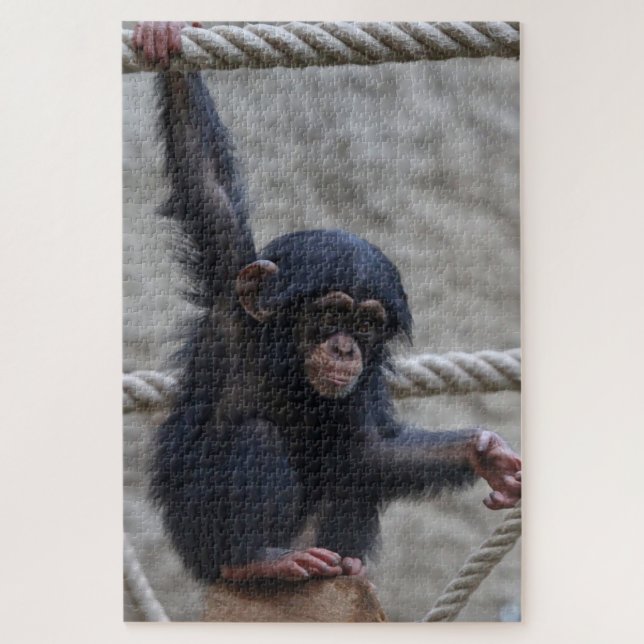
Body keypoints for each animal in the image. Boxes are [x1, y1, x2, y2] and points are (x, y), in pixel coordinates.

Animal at [132, 22, 521, 584]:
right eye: (333, 313)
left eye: (366, 324)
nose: (344, 349)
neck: (287, 361)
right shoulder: (230, 298)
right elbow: (205, 181)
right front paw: (168, 38)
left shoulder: (360, 388)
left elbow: (369, 451)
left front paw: (483, 454)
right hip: (201, 544)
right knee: (257, 440)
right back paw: (258, 560)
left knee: (351, 473)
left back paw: (346, 564)